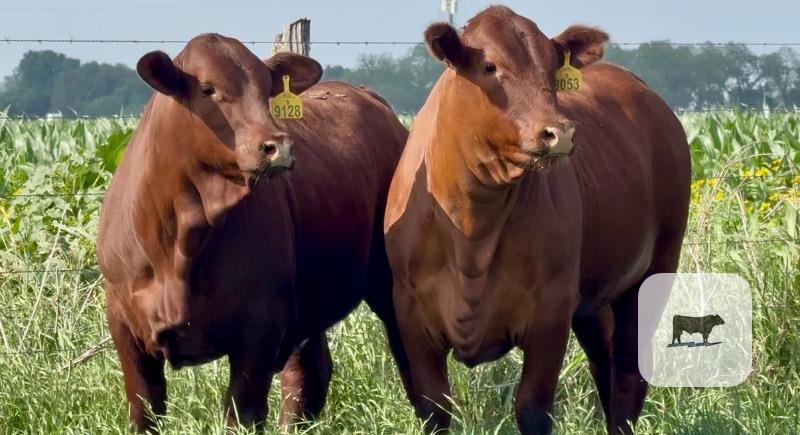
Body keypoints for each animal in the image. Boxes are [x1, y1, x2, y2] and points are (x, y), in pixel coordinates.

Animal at [96, 33, 408, 432]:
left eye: (266, 89)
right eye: (208, 88)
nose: (278, 146)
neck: (178, 238)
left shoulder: (258, 328)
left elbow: (241, 414)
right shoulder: (124, 326)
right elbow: (144, 411)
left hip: (390, 281)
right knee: (308, 375)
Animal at [384, 6, 690, 435]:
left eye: (551, 66)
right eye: (489, 65)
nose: (558, 133)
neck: (471, 229)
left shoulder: (551, 310)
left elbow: (532, 409)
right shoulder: (411, 313)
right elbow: (434, 408)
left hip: (653, 272)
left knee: (629, 377)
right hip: (594, 299)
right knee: (605, 366)